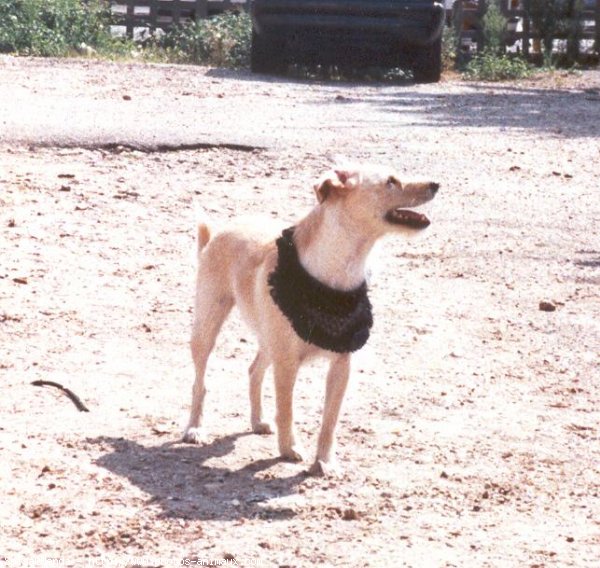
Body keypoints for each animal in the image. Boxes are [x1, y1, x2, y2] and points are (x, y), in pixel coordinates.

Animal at [182, 164, 436, 474]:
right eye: (391, 182)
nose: (435, 185)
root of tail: (216, 234)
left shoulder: (341, 365)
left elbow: (330, 420)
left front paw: (324, 461)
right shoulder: (286, 364)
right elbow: (286, 410)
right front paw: (289, 449)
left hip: (268, 342)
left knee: (254, 371)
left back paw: (257, 421)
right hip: (207, 327)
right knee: (200, 382)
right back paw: (195, 428)